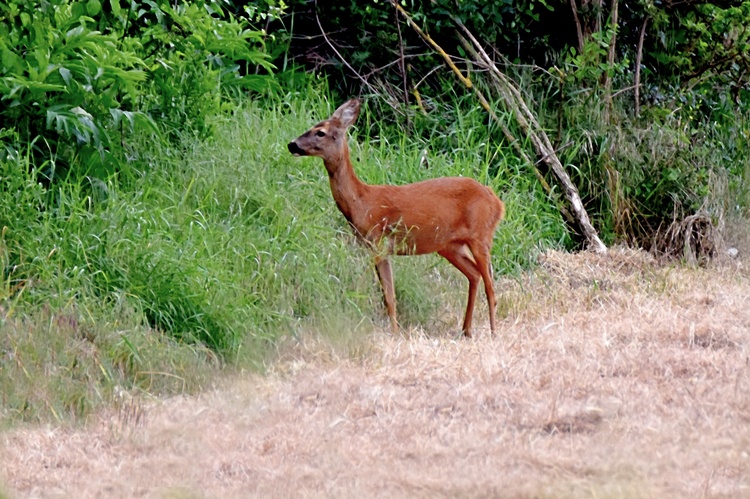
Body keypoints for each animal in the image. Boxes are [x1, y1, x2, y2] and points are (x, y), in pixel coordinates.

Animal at [288, 99, 506, 338]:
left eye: (321, 132)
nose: (292, 144)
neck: (361, 202)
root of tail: (497, 202)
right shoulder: (371, 247)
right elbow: (387, 296)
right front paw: (395, 331)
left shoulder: (379, 243)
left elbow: (389, 296)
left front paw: (394, 333)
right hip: (450, 245)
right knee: (474, 275)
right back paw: (466, 330)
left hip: (480, 235)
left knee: (490, 286)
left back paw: (493, 332)